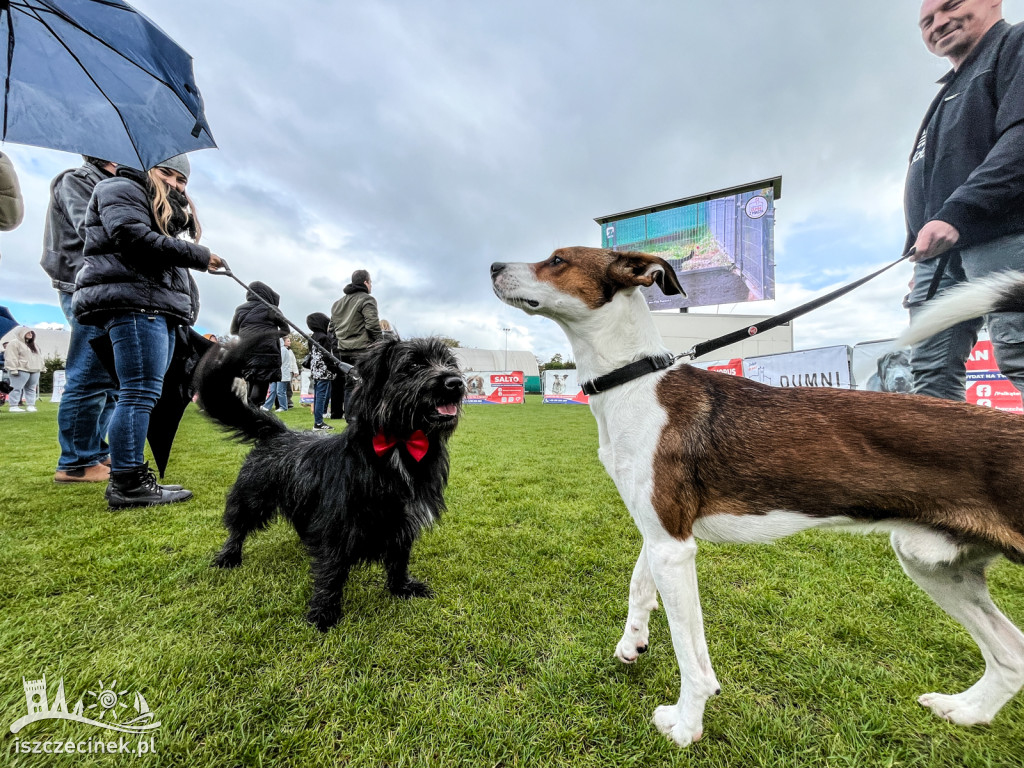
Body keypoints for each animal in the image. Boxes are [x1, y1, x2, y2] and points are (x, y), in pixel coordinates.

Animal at [194, 335, 464, 630]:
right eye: (413, 365)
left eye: (448, 363)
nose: (456, 383)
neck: (398, 446)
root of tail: (278, 432)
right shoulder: (339, 523)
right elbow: (332, 571)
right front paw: (324, 612)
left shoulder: (403, 521)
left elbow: (399, 559)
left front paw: (401, 588)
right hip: (253, 498)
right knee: (238, 527)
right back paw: (229, 556)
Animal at [489, 249, 1024, 749]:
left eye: (557, 260)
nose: (492, 267)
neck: (634, 380)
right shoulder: (661, 532)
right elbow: (639, 586)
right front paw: (633, 642)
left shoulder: (673, 547)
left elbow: (692, 658)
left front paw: (686, 727)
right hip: (931, 562)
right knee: (1010, 653)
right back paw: (965, 711)